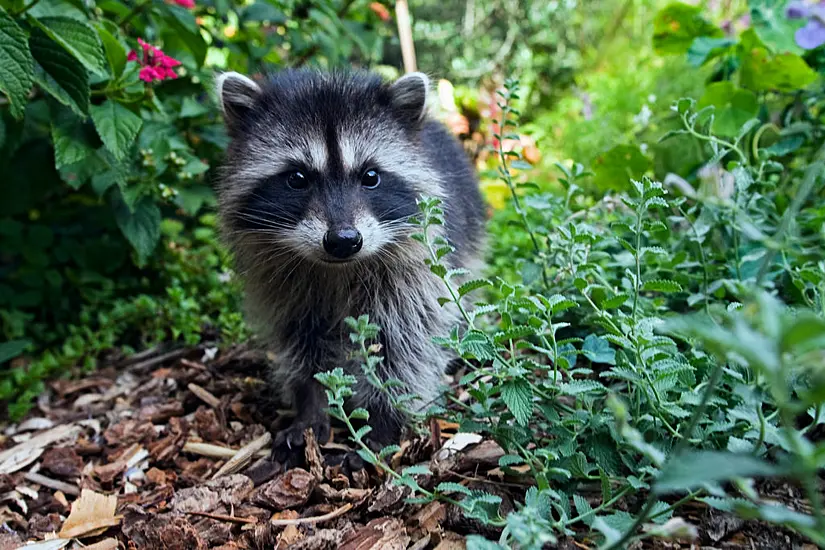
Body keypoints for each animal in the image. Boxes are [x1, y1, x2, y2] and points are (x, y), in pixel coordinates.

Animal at [214, 69, 490, 458]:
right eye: (297, 178)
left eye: (370, 176)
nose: (343, 240)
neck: (337, 269)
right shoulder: (284, 287)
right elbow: (303, 344)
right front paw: (311, 406)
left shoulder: (413, 276)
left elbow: (405, 343)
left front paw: (385, 419)